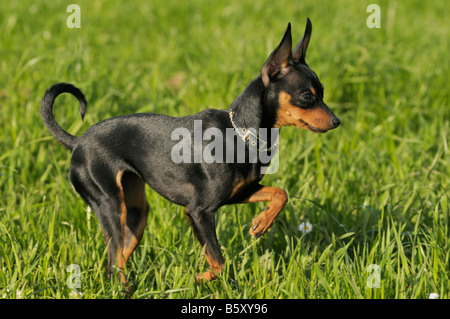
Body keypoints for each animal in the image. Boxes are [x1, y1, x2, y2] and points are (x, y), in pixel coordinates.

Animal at [40, 18, 340, 288]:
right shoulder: (198, 211)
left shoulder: (237, 194)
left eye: (323, 92)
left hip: (137, 213)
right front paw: (197, 279)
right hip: (111, 205)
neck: (239, 134)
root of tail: (77, 141)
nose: (337, 121)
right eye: (307, 96)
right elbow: (219, 262)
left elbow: (281, 193)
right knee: (114, 264)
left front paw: (261, 222)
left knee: (120, 257)